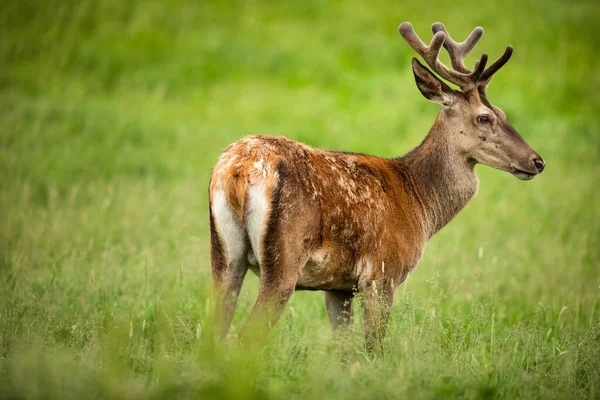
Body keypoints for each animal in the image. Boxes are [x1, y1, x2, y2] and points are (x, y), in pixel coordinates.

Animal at [209, 21, 548, 352]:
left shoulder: (339, 285)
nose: (537, 161)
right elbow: (374, 348)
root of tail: (239, 169)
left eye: (503, 113)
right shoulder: (382, 272)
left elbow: (345, 351)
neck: (419, 202)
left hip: (224, 255)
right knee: (246, 337)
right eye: (484, 118)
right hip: (284, 256)